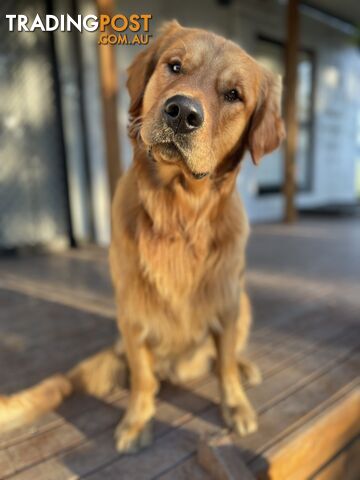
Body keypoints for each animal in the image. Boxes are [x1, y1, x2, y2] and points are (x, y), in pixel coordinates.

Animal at [0, 21, 284, 454]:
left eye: (234, 95)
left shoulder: (227, 302)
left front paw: (236, 405)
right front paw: (137, 421)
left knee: (228, 355)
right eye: (175, 66)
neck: (178, 213)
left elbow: (225, 366)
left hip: (244, 301)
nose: (183, 112)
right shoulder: (132, 316)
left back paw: (244, 366)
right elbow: (143, 378)